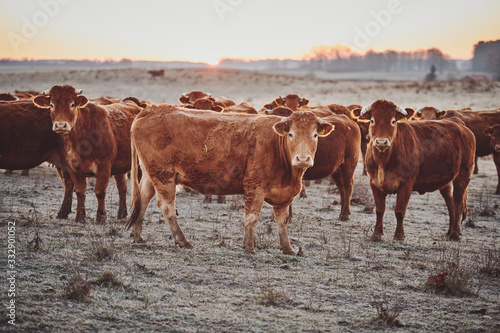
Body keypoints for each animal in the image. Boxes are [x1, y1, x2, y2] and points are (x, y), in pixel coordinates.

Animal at [127, 105, 334, 252]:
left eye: (315, 134)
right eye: (291, 134)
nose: (303, 159)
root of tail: (149, 110)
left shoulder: (283, 194)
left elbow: (281, 221)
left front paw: (288, 248)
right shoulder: (254, 187)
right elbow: (251, 217)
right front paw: (249, 247)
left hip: (150, 174)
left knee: (143, 199)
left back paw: (138, 236)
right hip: (164, 175)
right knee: (167, 206)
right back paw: (182, 240)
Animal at [354, 100, 474, 240]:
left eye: (393, 121)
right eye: (372, 120)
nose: (381, 142)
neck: (384, 161)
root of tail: (458, 122)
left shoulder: (406, 184)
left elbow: (400, 211)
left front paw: (399, 235)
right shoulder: (374, 183)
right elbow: (379, 210)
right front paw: (376, 234)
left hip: (463, 173)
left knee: (458, 201)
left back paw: (455, 233)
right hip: (447, 179)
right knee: (450, 200)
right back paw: (450, 231)